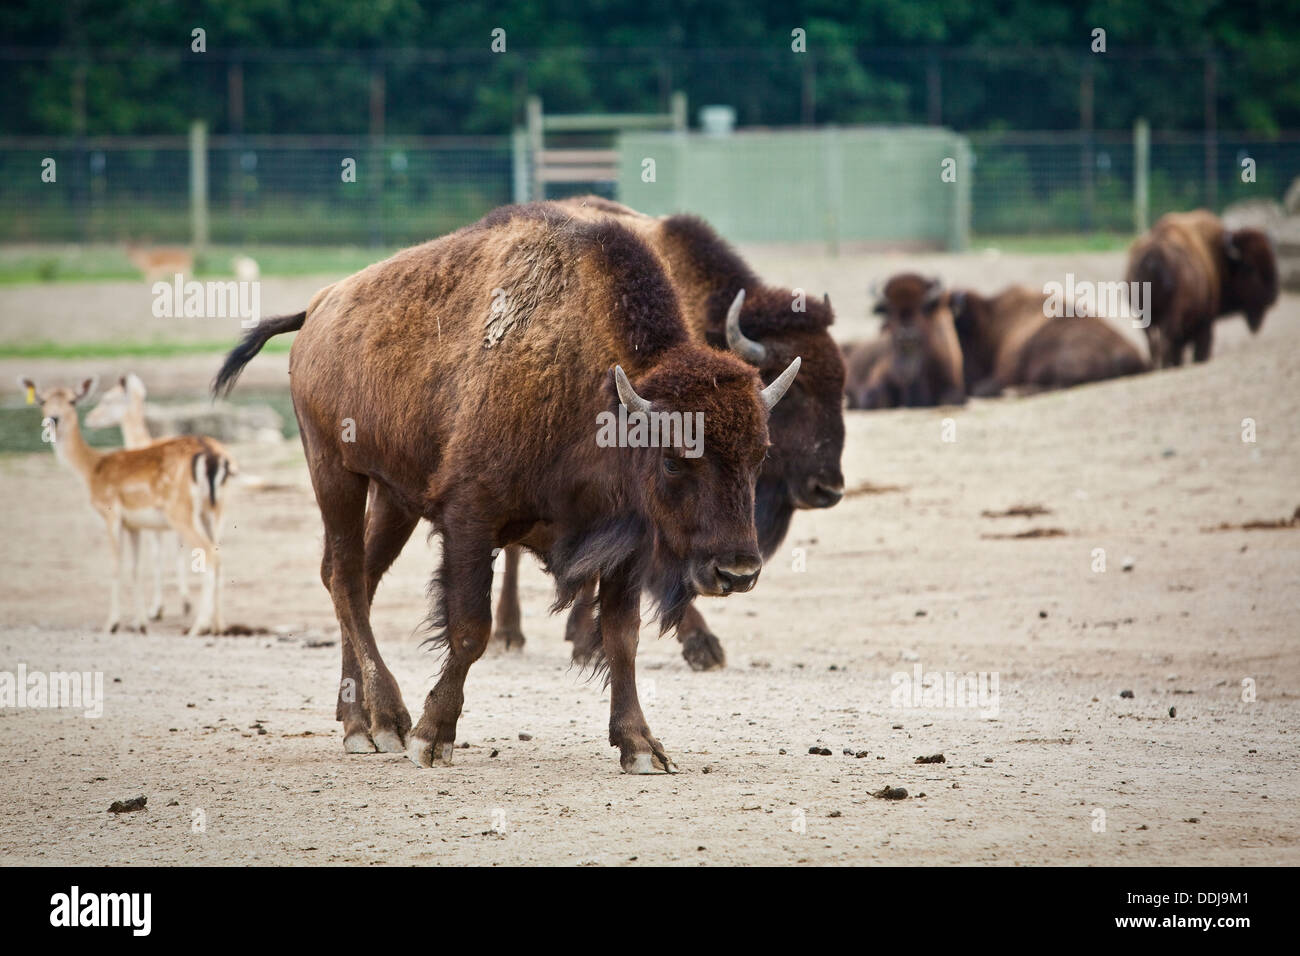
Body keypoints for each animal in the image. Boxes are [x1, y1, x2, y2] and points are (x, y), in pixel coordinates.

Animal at [211, 205, 795, 775]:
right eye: (674, 459)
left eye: (761, 453)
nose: (737, 572)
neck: (603, 396)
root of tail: (317, 309)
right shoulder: (471, 518)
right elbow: (472, 628)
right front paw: (431, 737)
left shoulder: (624, 544)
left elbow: (621, 637)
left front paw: (641, 747)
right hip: (334, 472)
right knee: (348, 580)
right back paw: (381, 724)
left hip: (393, 497)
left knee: (355, 578)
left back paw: (358, 716)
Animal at [1128, 208, 1279, 366]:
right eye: (1250, 267)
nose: (1272, 296)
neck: (1220, 256)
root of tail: (1152, 257)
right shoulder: (1205, 323)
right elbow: (1200, 350)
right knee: (1165, 343)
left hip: (1146, 318)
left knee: (1155, 344)